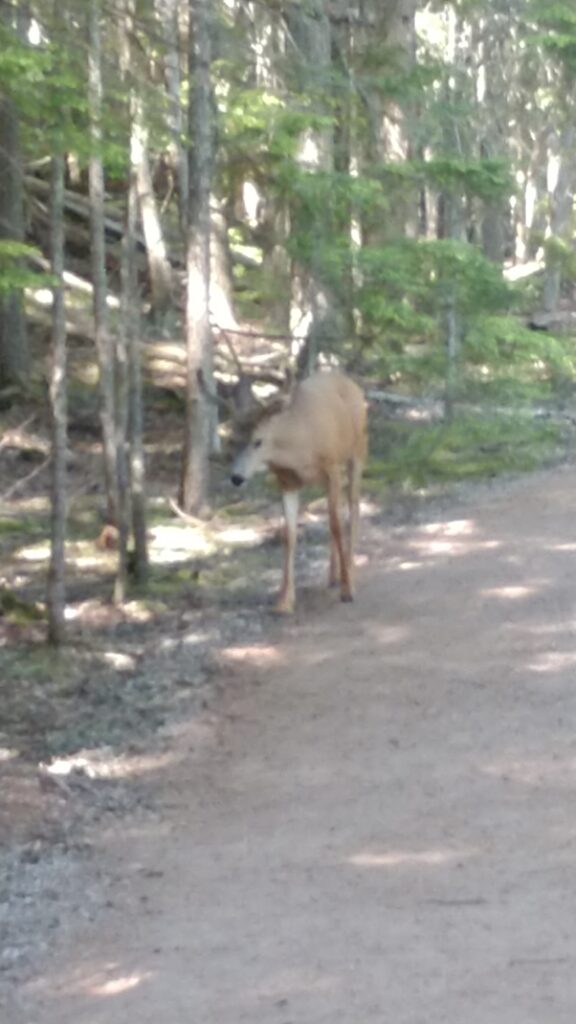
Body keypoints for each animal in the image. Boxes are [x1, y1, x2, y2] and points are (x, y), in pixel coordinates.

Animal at [227, 372, 364, 610]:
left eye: (258, 441)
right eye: (232, 439)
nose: (237, 478)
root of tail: (350, 382)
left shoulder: (331, 467)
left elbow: (336, 525)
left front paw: (347, 590)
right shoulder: (287, 481)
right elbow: (288, 535)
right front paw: (284, 600)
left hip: (358, 451)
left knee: (353, 509)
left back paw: (349, 572)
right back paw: (333, 576)